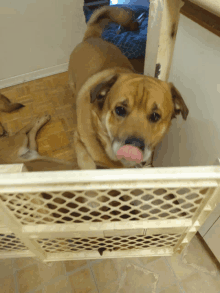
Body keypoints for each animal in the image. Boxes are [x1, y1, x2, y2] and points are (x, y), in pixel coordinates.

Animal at [69, 6, 189, 169]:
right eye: (120, 110)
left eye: (155, 116)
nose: (134, 147)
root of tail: (91, 37)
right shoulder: (79, 140)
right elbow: (88, 164)